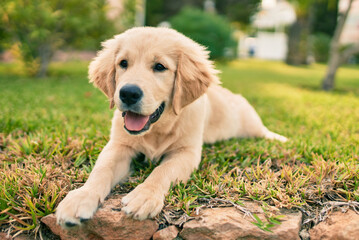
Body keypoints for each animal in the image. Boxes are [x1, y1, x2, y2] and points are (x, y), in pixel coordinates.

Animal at [55, 26, 286, 227]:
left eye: (160, 67)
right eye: (123, 63)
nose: (128, 93)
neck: (157, 129)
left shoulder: (187, 153)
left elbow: (162, 170)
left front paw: (144, 195)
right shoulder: (119, 145)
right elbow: (102, 169)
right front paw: (81, 197)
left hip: (250, 121)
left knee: (263, 131)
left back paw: (280, 138)